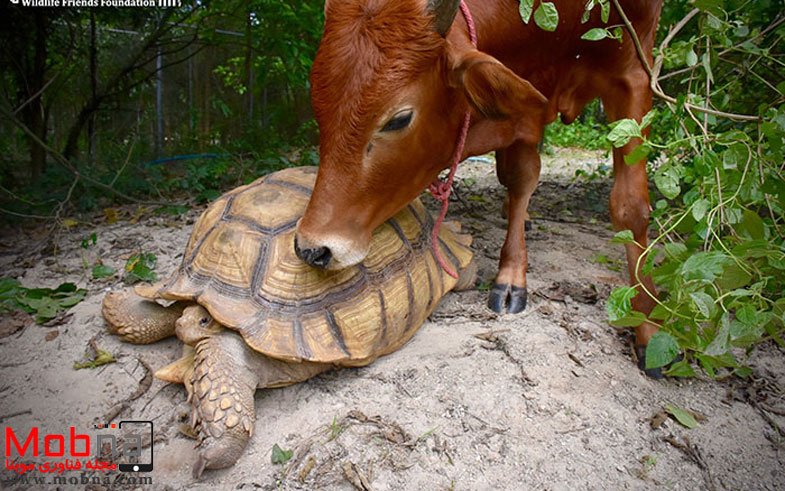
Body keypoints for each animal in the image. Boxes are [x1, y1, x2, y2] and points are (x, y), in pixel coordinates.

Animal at [294, 0, 664, 377]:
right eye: (319, 106)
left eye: (399, 119)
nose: (312, 248)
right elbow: (519, 175)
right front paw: (513, 269)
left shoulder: (634, 70)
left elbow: (630, 207)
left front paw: (650, 323)